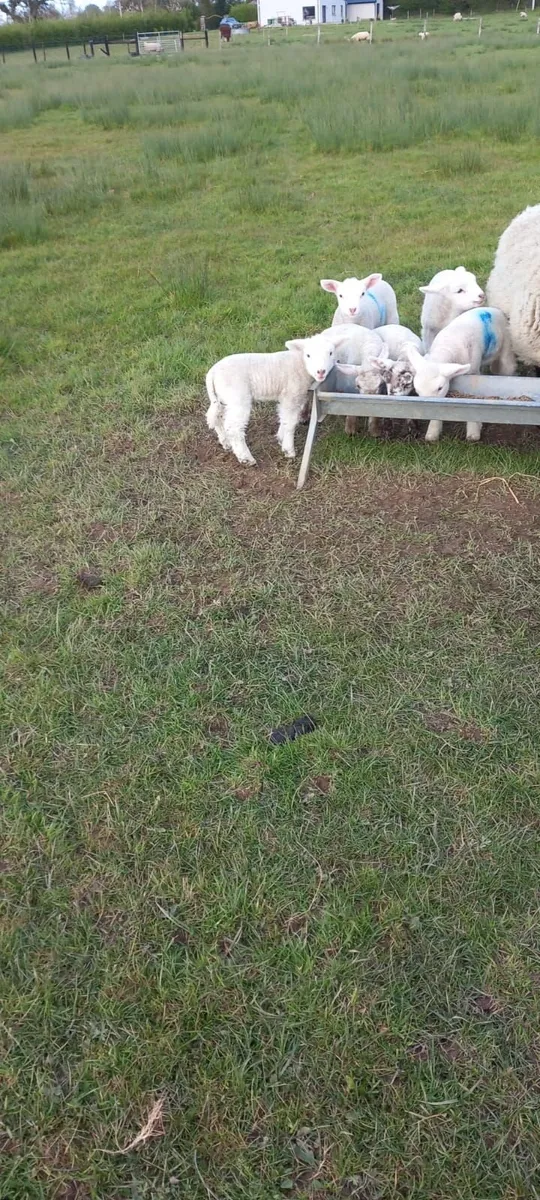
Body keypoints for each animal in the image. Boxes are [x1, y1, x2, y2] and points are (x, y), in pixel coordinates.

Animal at [206, 332, 346, 466]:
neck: (300, 363)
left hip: (223, 398)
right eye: (308, 355)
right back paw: (246, 458)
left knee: (217, 418)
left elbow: (284, 418)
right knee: (233, 428)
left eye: (330, 353)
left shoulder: (288, 396)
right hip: (237, 397)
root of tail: (212, 372)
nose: (321, 371)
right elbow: (290, 422)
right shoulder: (291, 394)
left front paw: (280, 438)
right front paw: (288, 449)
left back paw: (226, 443)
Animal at [405, 306, 516, 444]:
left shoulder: (473, 373)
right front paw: (433, 431)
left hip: (506, 348)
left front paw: (473, 432)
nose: (426, 413)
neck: (446, 347)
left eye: (440, 388)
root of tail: (492, 309)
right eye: (417, 390)